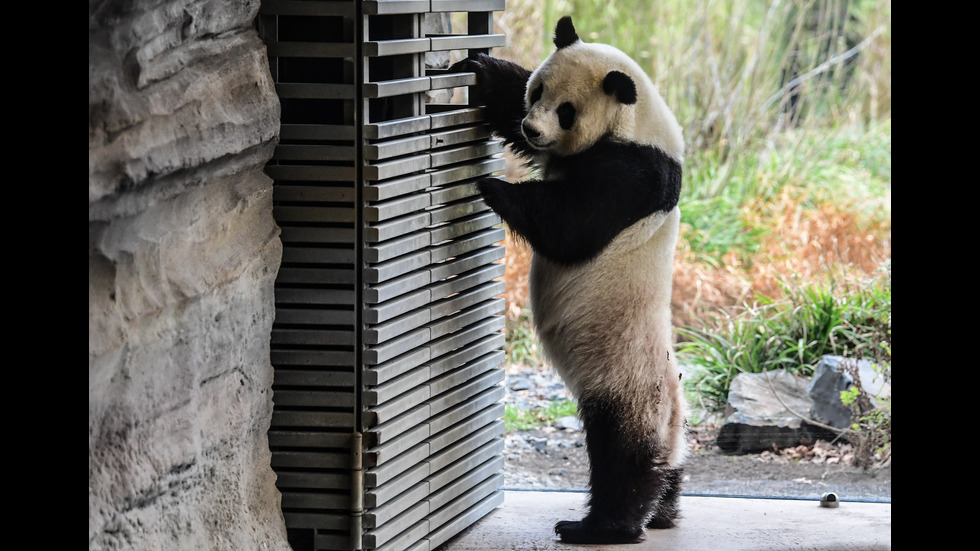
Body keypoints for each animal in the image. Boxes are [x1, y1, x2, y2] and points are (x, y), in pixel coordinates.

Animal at [452, 15, 688, 544]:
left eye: (566, 112)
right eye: (537, 91)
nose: (532, 128)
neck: (635, 121)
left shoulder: (634, 173)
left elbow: (572, 228)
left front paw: (495, 186)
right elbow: (504, 98)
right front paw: (478, 68)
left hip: (624, 379)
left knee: (621, 455)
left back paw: (601, 526)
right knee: (668, 468)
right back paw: (665, 510)